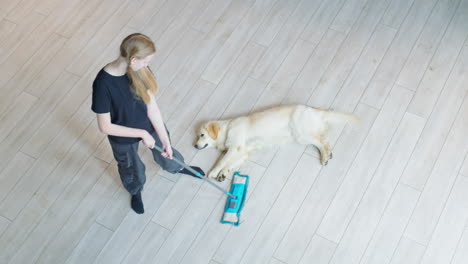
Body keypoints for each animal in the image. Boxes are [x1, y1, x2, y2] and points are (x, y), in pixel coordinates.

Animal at [194, 104, 358, 180]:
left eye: (201, 135)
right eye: (197, 136)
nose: (194, 145)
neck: (228, 128)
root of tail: (313, 110)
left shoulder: (235, 147)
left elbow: (222, 161)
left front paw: (213, 172)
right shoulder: (244, 152)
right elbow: (231, 163)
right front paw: (223, 173)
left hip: (300, 134)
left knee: (322, 140)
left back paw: (325, 156)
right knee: (323, 139)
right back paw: (327, 154)